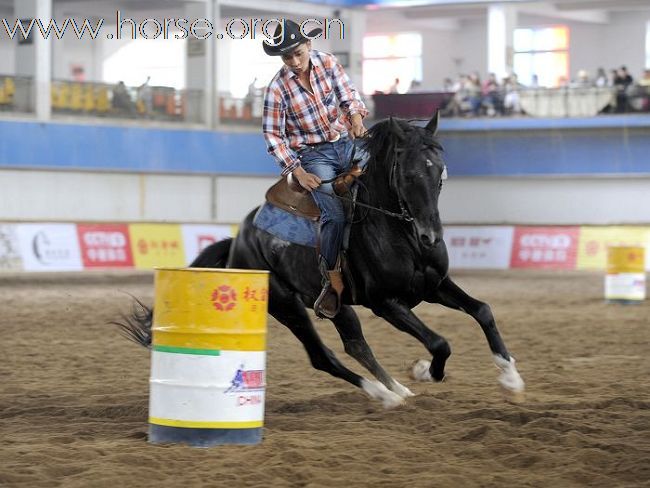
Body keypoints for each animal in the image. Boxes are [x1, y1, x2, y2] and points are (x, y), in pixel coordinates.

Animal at [120, 112, 520, 406]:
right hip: (288, 305)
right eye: (408, 175)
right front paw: (424, 370)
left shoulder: (434, 285)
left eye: (440, 172)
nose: (430, 237)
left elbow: (482, 310)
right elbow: (439, 343)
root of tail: (240, 239)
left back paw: (394, 388)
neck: (399, 233)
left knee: (355, 344)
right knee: (323, 355)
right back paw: (384, 394)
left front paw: (511, 376)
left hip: (337, 306)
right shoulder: (386, 303)